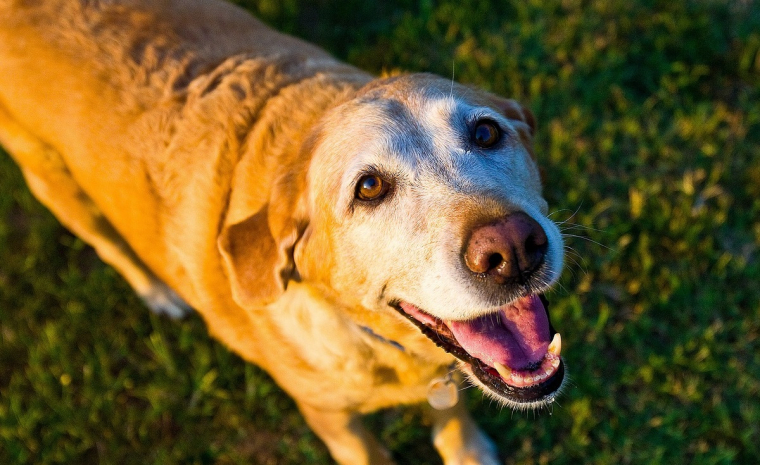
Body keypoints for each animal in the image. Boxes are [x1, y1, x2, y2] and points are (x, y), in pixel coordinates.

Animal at [0, 1, 564, 462]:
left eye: (486, 132)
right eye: (369, 188)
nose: (513, 248)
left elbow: (451, 415)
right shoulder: (333, 421)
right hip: (54, 182)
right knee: (107, 243)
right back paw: (158, 292)